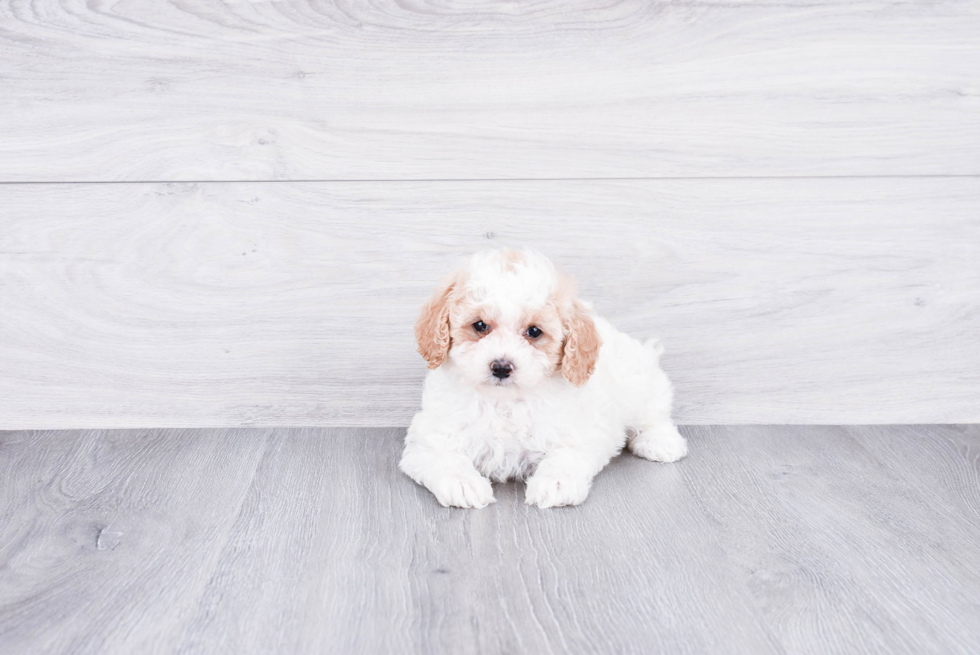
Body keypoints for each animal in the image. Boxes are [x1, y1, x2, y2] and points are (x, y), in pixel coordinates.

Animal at [398, 249, 688, 510]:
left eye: (534, 331)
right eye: (480, 326)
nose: (501, 367)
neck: (504, 402)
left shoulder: (580, 429)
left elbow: (566, 454)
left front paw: (556, 483)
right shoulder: (431, 431)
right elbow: (443, 455)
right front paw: (462, 483)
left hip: (640, 384)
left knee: (654, 415)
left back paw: (660, 443)